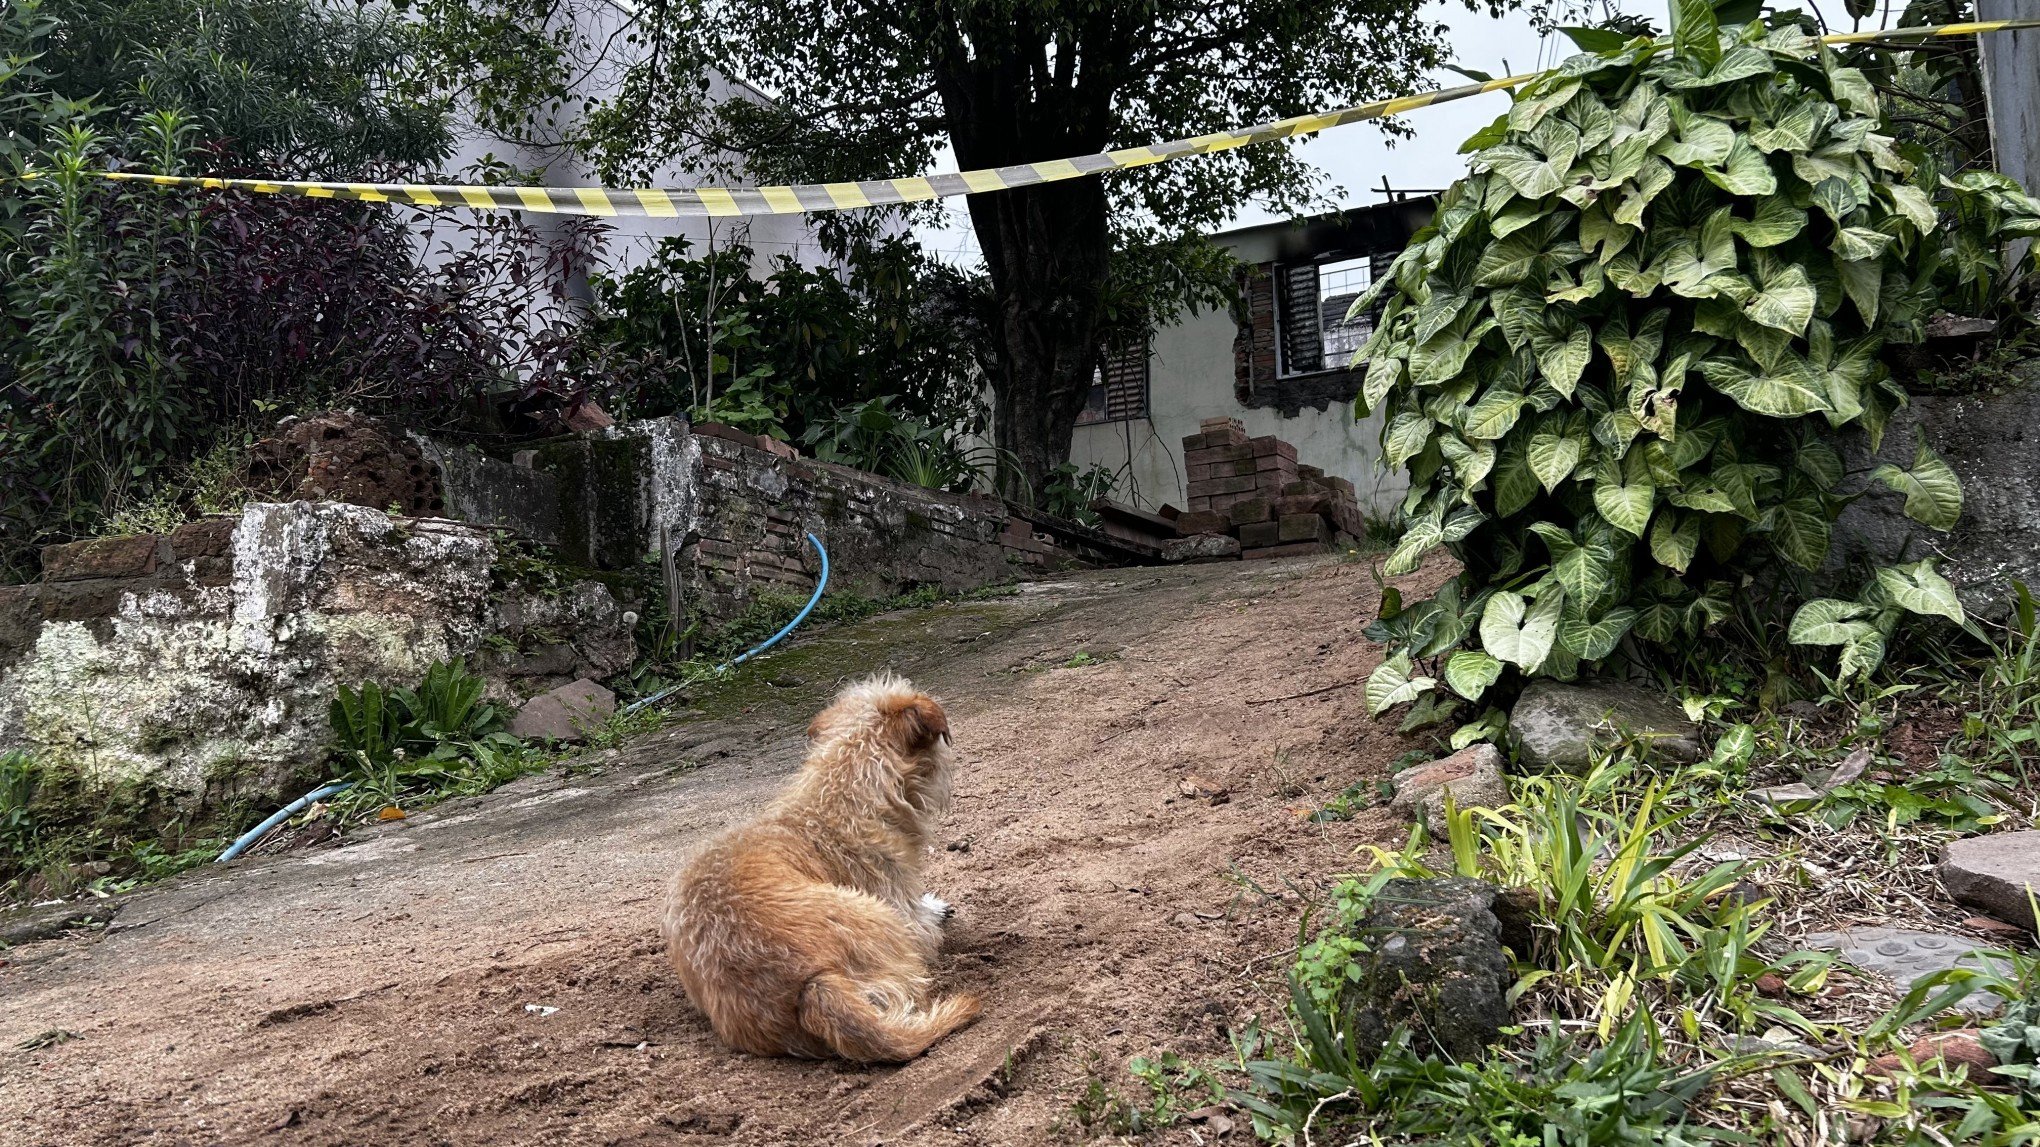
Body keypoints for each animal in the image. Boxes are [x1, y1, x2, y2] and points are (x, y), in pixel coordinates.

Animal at [660, 669, 979, 1061]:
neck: (845, 791)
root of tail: (811, 985)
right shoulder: (900, 901)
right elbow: (924, 923)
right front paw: (935, 910)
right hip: (877, 915)